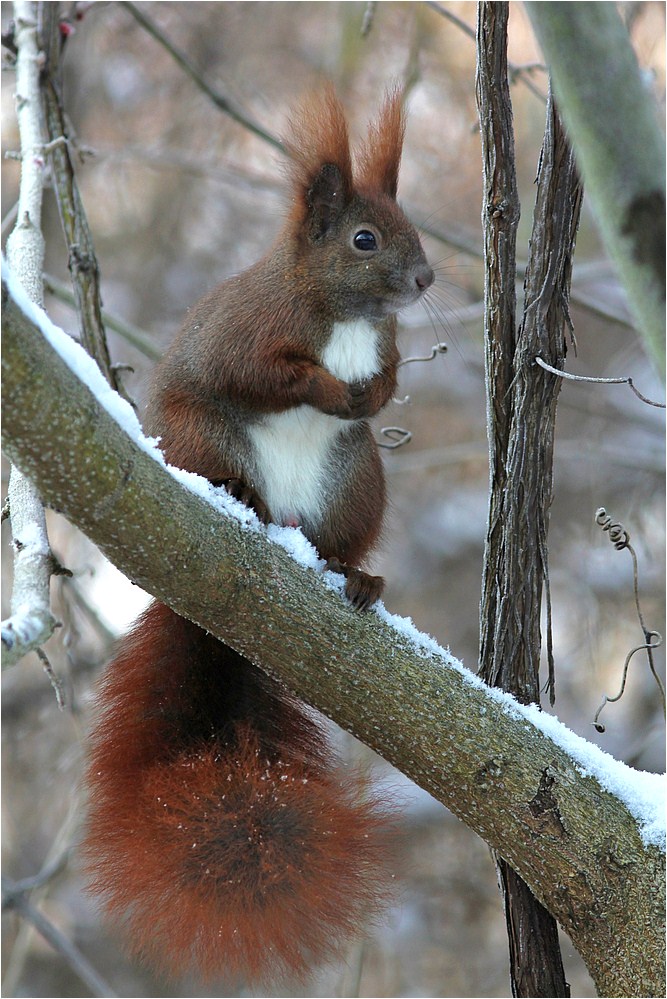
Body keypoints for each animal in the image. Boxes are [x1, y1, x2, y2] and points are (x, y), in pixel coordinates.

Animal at [82, 90, 434, 988]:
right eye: (364, 239)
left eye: (408, 225)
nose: (425, 279)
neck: (346, 317)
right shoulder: (247, 337)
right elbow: (268, 374)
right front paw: (330, 387)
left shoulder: (380, 352)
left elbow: (385, 380)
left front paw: (374, 388)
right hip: (203, 437)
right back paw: (245, 505)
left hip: (355, 484)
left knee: (339, 540)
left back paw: (351, 575)